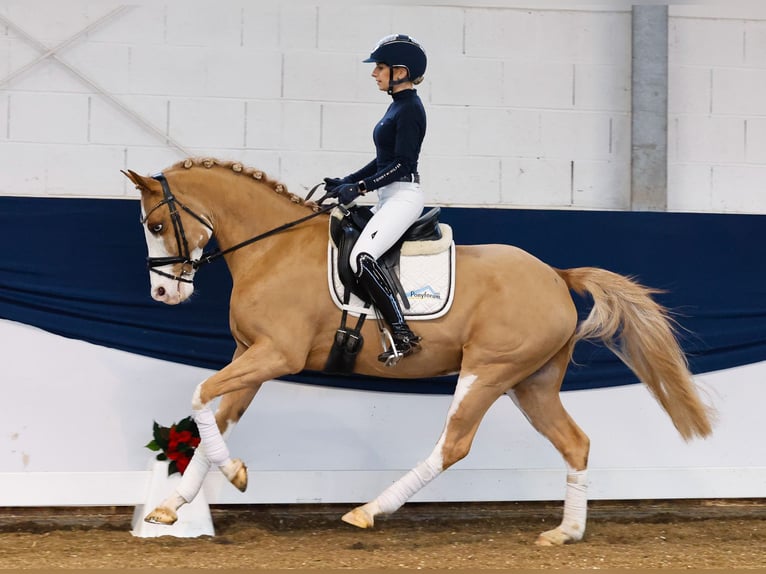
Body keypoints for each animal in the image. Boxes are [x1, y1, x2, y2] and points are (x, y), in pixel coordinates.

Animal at [123, 160, 716, 548]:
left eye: (156, 225)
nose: (164, 294)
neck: (271, 248)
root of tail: (555, 274)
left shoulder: (275, 355)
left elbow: (199, 395)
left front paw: (235, 474)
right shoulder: (250, 355)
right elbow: (214, 417)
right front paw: (172, 507)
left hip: (488, 371)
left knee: (453, 445)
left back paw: (368, 511)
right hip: (531, 383)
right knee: (575, 442)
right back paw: (566, 532)